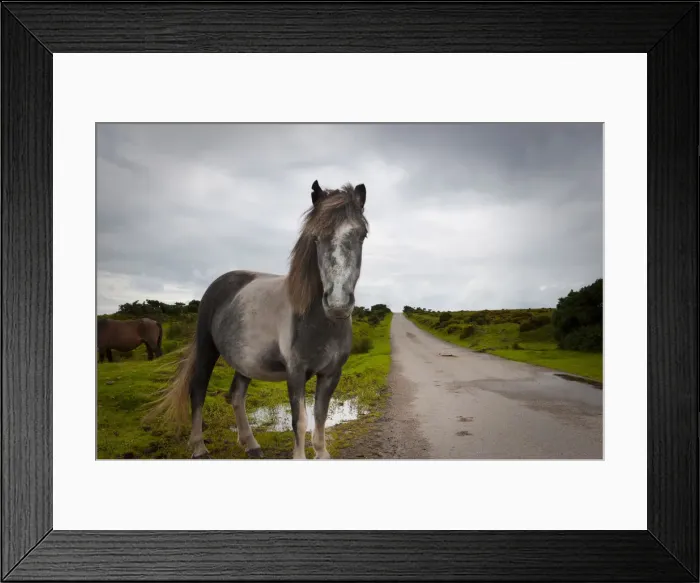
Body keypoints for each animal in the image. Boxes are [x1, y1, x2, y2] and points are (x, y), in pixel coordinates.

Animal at [148, 180, 368, 460]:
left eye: (362, 235)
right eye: (316, 237)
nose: (338, 303)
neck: (320, 323)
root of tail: (220, 283)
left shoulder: (331, 374)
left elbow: (320, 417)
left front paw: (322, 454)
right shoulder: (295, 373)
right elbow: (300, 421)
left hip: (245, 362)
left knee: (236, 395)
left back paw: (251, 444)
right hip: (207, 348)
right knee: (197, 389)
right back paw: (199, 447)